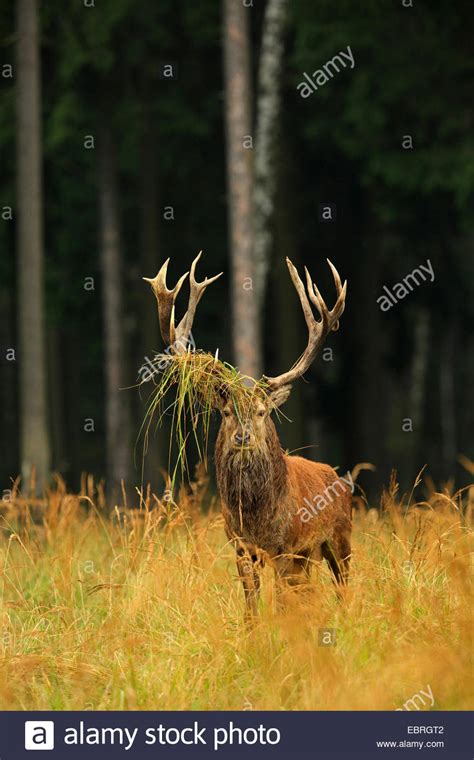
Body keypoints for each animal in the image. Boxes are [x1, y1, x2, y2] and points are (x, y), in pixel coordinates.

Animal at [143, 252, 350, 620]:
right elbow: (251, 607)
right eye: (227, 412)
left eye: (262, 412)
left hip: (340, 539)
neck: (256, 516)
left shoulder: (285, 547)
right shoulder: (240, 546)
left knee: (343, 587)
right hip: (308, 558)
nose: (242, 437)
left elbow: (280, 604)